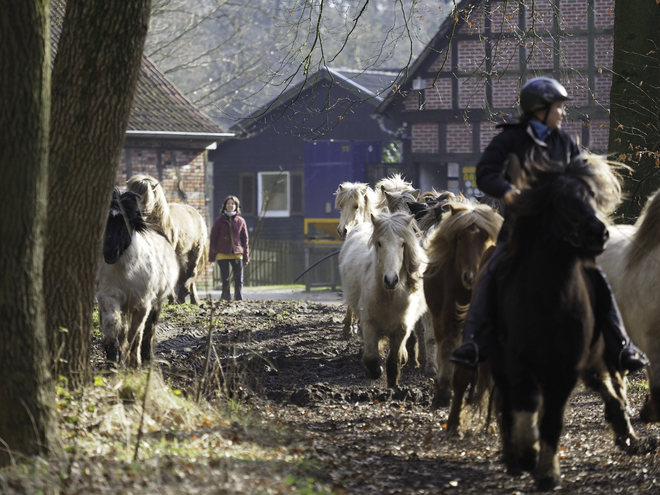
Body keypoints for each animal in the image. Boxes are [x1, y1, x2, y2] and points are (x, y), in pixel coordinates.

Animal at [95, 190, 178, 368]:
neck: (127, 271)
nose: (109, 252)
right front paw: (113, 361)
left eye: (124, 221)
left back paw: (146, 357)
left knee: (149, 328)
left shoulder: (142, 303)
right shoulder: (109, 296)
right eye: (105, 221)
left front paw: (134, 362)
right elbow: (113, 326)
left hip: (157, 301)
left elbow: (136, 332)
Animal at [124, 174, 206, 306]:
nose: (140, 211)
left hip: (196, 250)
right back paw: (190, 299)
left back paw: (185, 294)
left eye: (149, 195)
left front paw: (172, 298)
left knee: (191, 272)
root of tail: (196, 213)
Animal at [340, 209, 428, 388]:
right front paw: (374, 371)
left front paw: (393, 386)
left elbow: (393, 363)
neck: (389, 297)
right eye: (379, 243)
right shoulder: (369, 324)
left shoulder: (401, 329)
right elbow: (371, 358)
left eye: (403, 244)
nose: (390, 279)